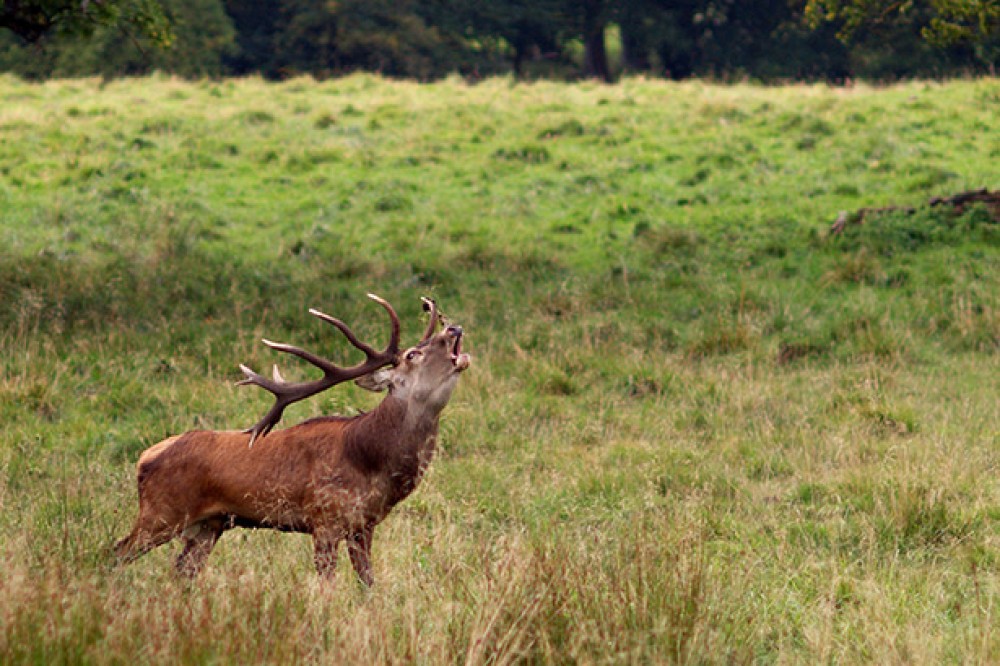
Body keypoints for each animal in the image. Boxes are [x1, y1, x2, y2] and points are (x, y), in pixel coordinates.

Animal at [111, 292, 470, 580]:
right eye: (412, 354)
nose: (453, 328)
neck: (371, 462)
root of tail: (145, 457)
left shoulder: (363, 526)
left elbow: (368, 584)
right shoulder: (324, 519)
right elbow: (327, 585)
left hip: (207, 525)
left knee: (182, 570)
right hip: (161, 512)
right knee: (115, 553)